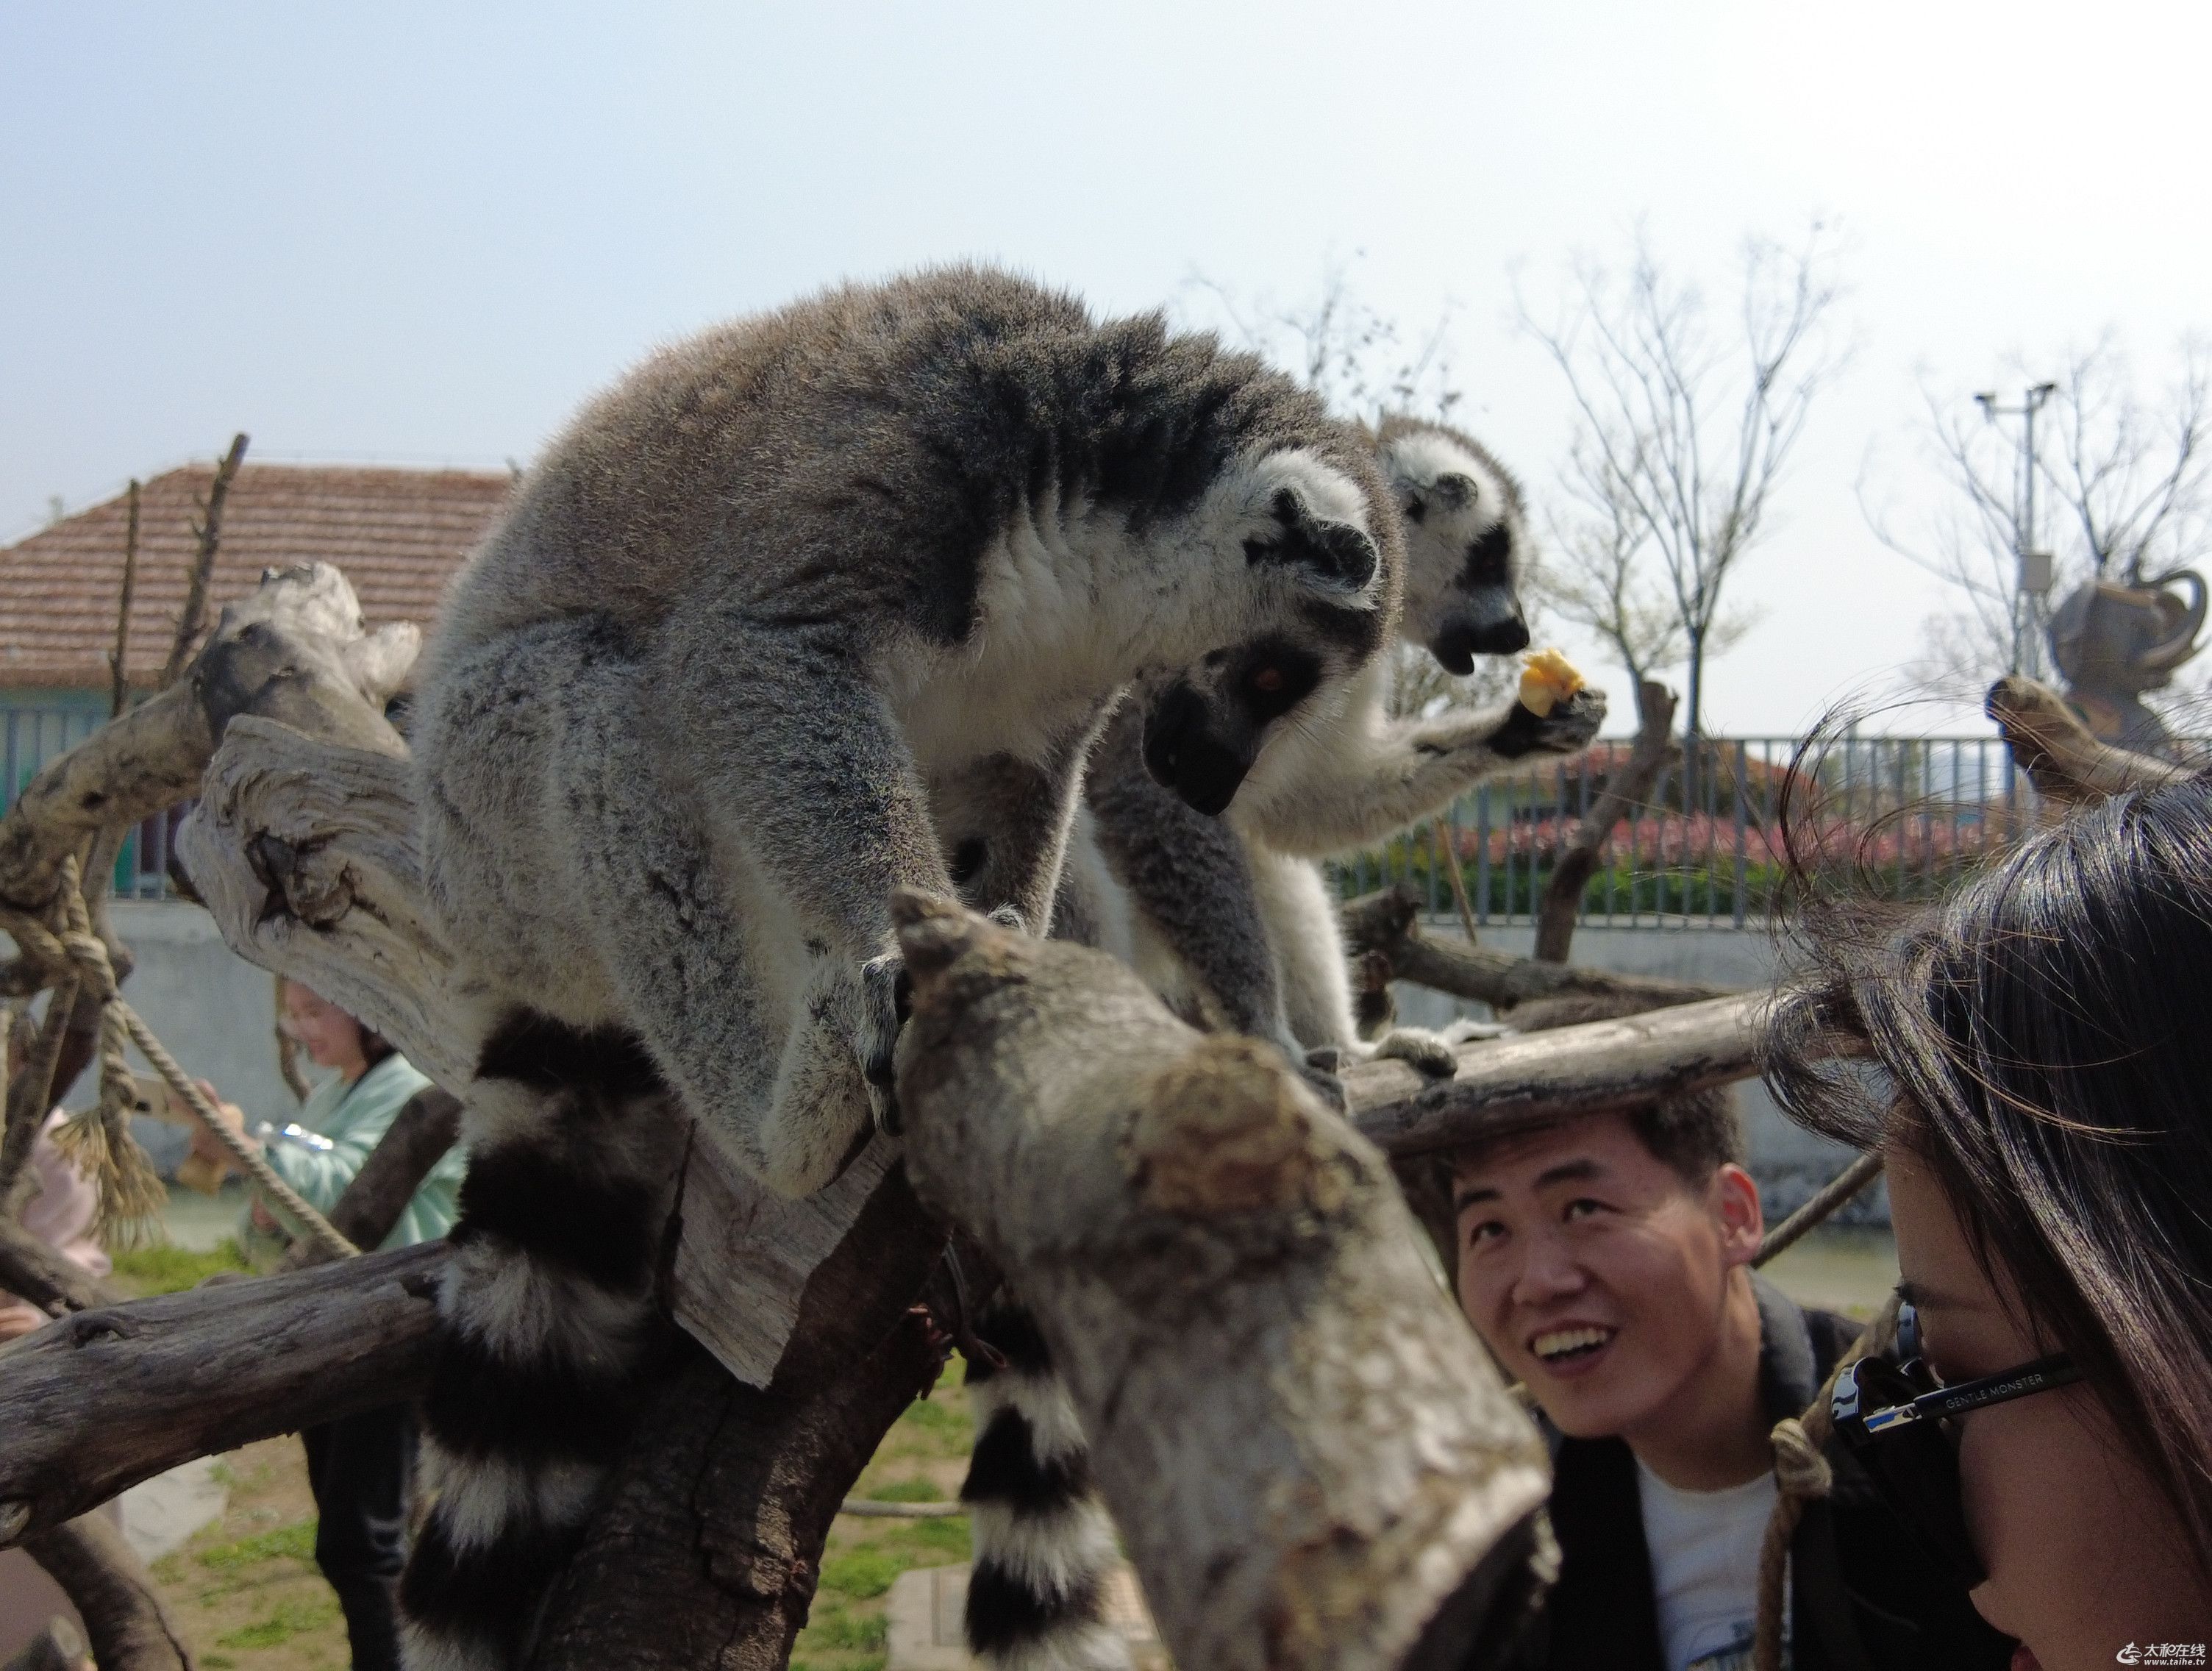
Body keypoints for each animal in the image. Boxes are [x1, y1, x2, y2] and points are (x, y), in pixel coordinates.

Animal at [397, 266, 1409, 1671]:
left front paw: (1019, 953)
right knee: (608, 699)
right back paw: (784, 1117)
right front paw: (894, 959)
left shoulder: (1047, 706)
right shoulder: (898, 463)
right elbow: (756, 655)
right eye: (1269, 671)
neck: (1087, 541)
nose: (1207, 778)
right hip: (493, 829)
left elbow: (1026, 787)